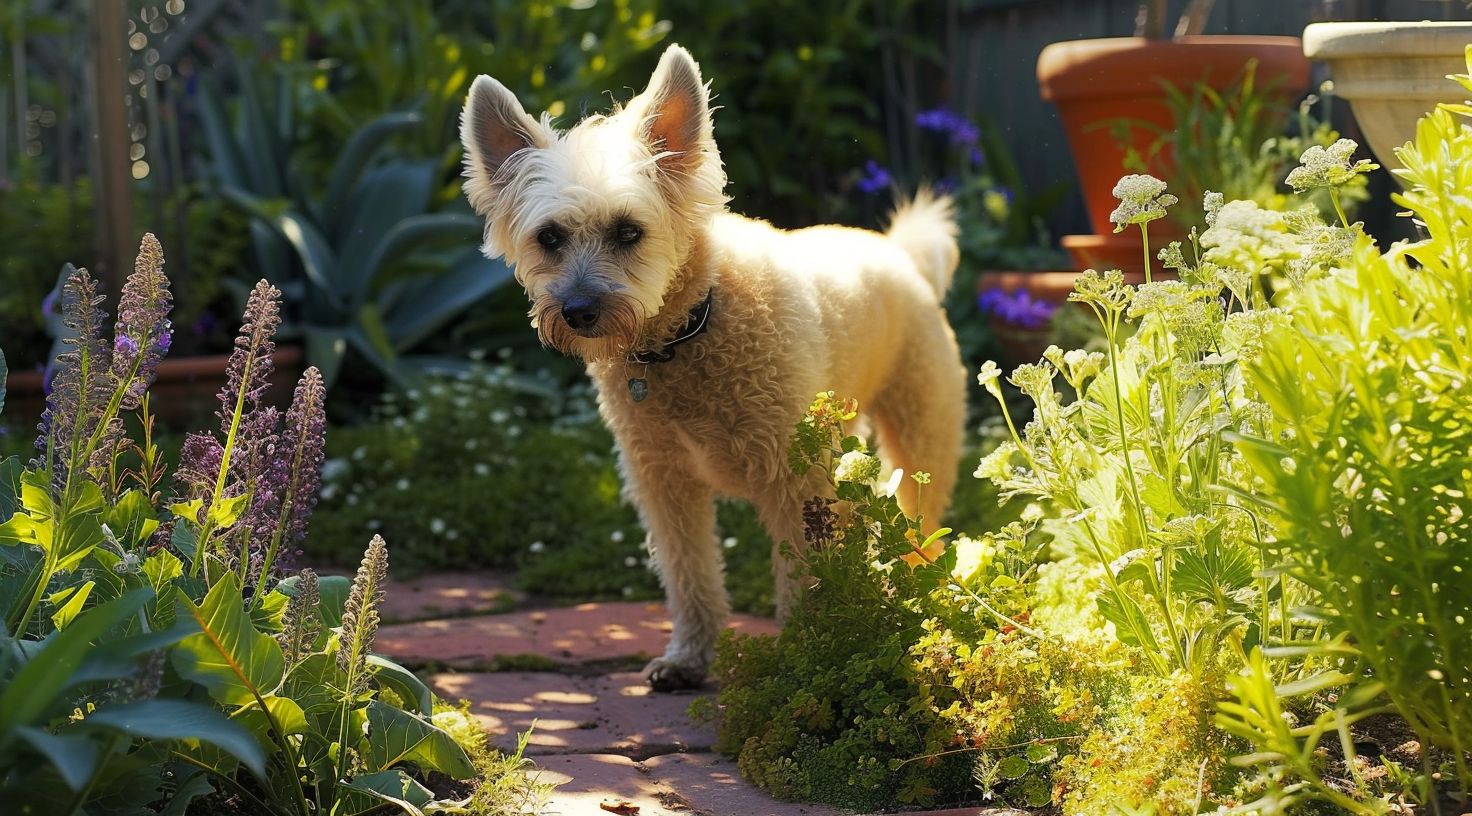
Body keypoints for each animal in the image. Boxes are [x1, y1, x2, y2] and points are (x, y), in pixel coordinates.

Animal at [456, 39, 965, 686]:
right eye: (549, 238)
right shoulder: (665, 486)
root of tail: (898, 253)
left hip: (920, 443)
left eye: (628, 231)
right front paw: (690, 658)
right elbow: (690, 574)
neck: (688, 333)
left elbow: (804, 580)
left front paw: (807, 654)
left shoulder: (794, 485)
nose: (577, 311)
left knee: (923, 534)